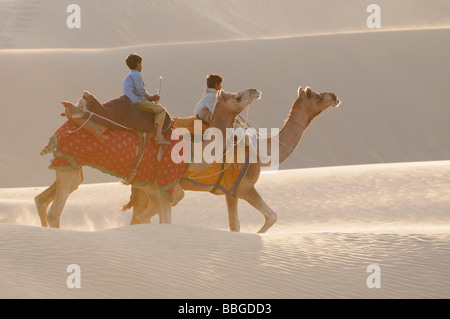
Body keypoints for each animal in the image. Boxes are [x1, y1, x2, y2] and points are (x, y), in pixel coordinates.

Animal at [121, 86, 340, 234]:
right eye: (316, 96)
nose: (335, 96)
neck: (261, 151)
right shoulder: (242, 187)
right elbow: (269, 217)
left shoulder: (228, 190)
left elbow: (239, 224)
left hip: (144, 185)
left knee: (138, 215)